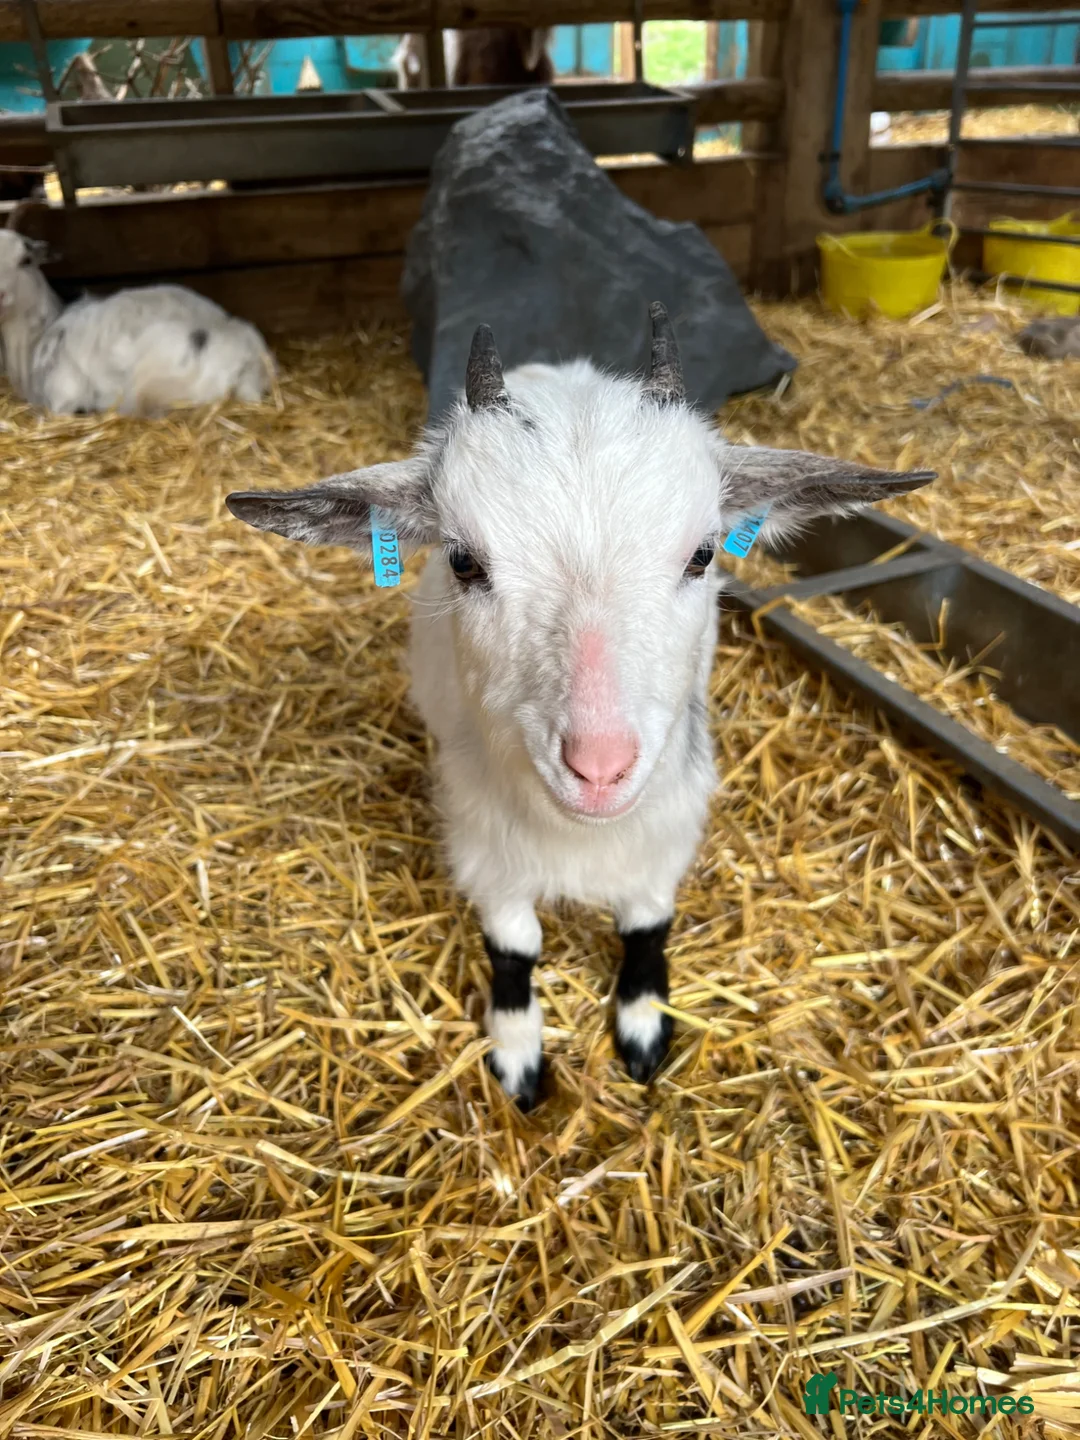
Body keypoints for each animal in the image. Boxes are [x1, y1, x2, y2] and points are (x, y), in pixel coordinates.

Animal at [226, 305, 936, 1110]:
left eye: (702, 555)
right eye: (463, 561)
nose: (598, 769)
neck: (582, 836)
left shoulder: (668, 824)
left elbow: (647, 923)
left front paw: (644, 1028)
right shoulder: (483, 843)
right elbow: (514, 945)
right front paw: (516, 1055)